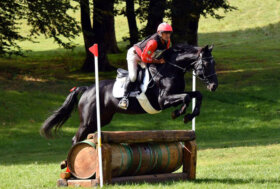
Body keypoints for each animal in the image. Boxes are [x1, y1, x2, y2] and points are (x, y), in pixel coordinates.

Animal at [40, 43, 218, 145]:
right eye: (206, 64)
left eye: (214, 63)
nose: (214, 86)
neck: (170, 70)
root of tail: (87, 89)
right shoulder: (163, 100)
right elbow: (186, 97)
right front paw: (178, 113)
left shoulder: (176, 94)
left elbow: (197, 95)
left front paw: (189, 116)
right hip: (87, 120)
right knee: (76, 138)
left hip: (101, 119)